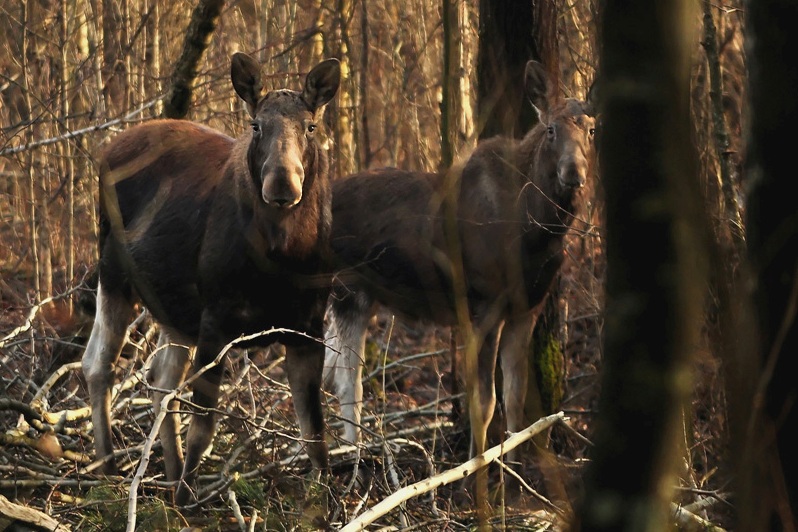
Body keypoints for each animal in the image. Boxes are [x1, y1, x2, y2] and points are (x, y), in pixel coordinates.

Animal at [83, 54, 342, 508]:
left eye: (311, 126)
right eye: (256, 125)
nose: (281, 183)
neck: (282, 256)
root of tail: (105, 151)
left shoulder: (307, 328)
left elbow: (315, 432)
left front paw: (327, 500)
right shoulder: (217, 320)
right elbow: (203, 428)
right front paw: (189, 501)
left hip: (173, 309)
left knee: (159, 380)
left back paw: (167, 475)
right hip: (114, 276)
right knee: (99, 364)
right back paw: (111, 468)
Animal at [324, 58, 592, 468]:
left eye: (592, 130)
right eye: (551, 129)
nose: (574, 173)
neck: (537, 231)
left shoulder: (526, 309)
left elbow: (515, 398)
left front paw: (515, 468)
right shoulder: (484, 305)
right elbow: (484, 403)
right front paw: (475, 469)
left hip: (353, 296)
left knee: (334, 368)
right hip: (343, 290)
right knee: (344, 376)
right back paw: (350, 456)